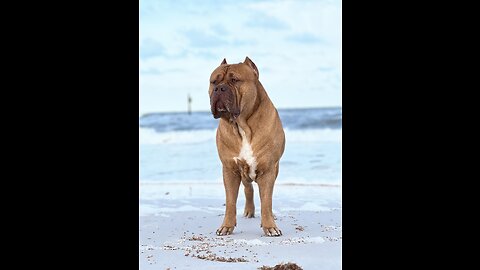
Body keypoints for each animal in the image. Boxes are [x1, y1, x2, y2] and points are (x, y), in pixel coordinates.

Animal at [207, 57, 284, 236]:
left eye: (235, 80)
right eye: (214, 82)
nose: (219, 88)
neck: (241, 125)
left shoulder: (268, 170)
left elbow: (267, 201)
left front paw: (270, 226)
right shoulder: (230, 170)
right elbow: (230, 201)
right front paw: (226, 226)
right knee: (248, 188)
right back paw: (249, 211)